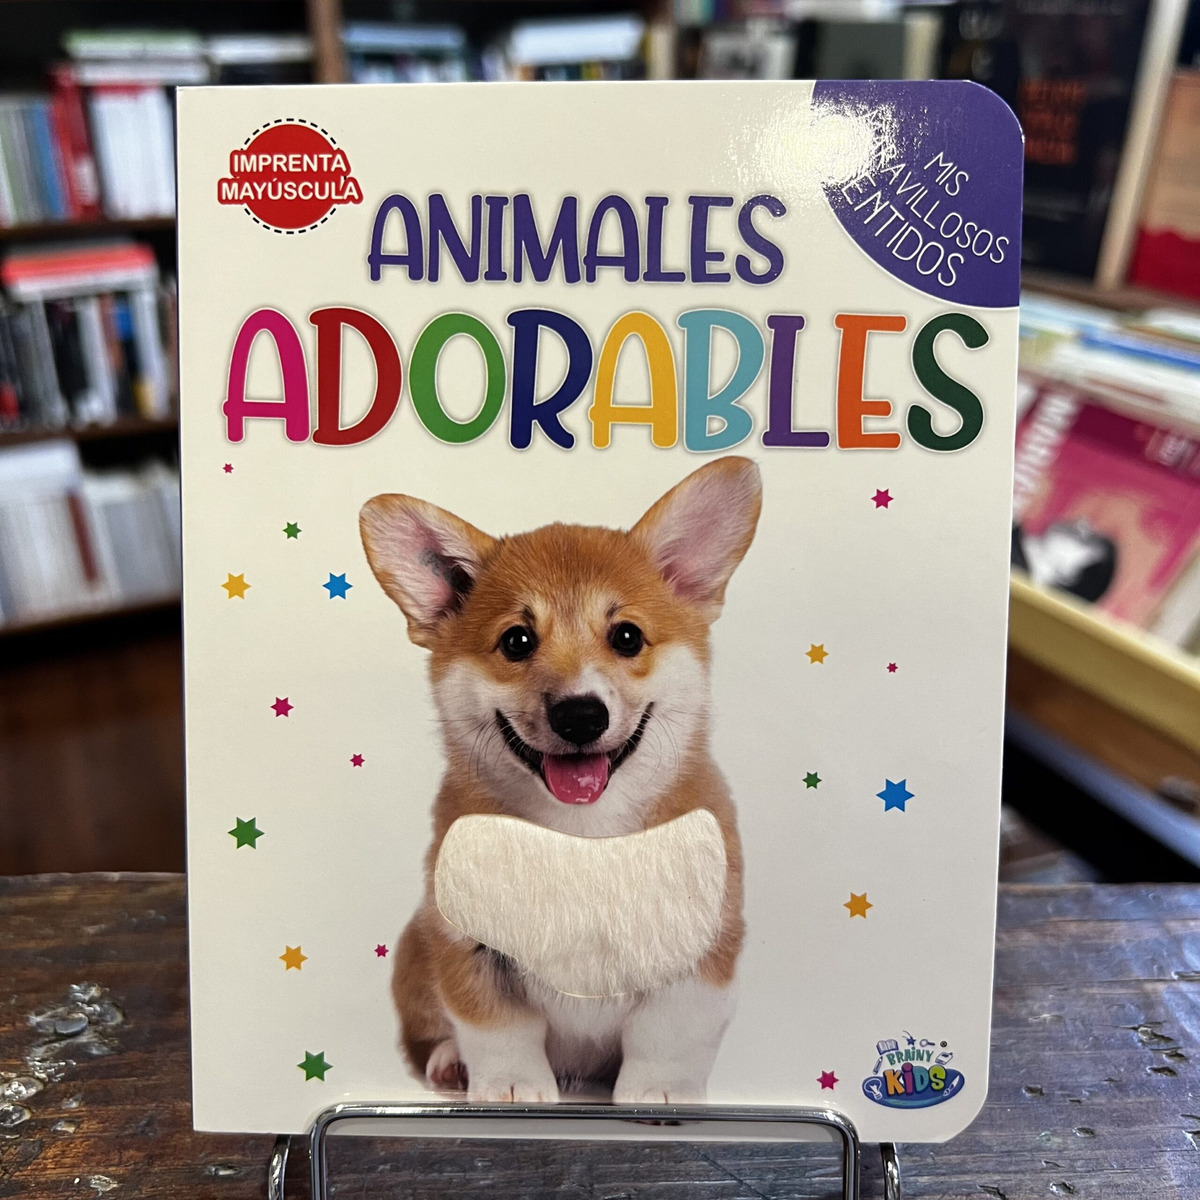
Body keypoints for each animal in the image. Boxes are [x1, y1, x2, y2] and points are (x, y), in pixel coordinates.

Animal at [359, 455, 762, 1104]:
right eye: (517, 641)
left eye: (627, 636)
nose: (580, 715)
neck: (581, 835)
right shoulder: (469, 945)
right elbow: (501, 1028)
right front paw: (510, 1088)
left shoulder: (701, 946)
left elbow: (668, 1032)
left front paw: (661, 1093)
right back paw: (449, 1063)